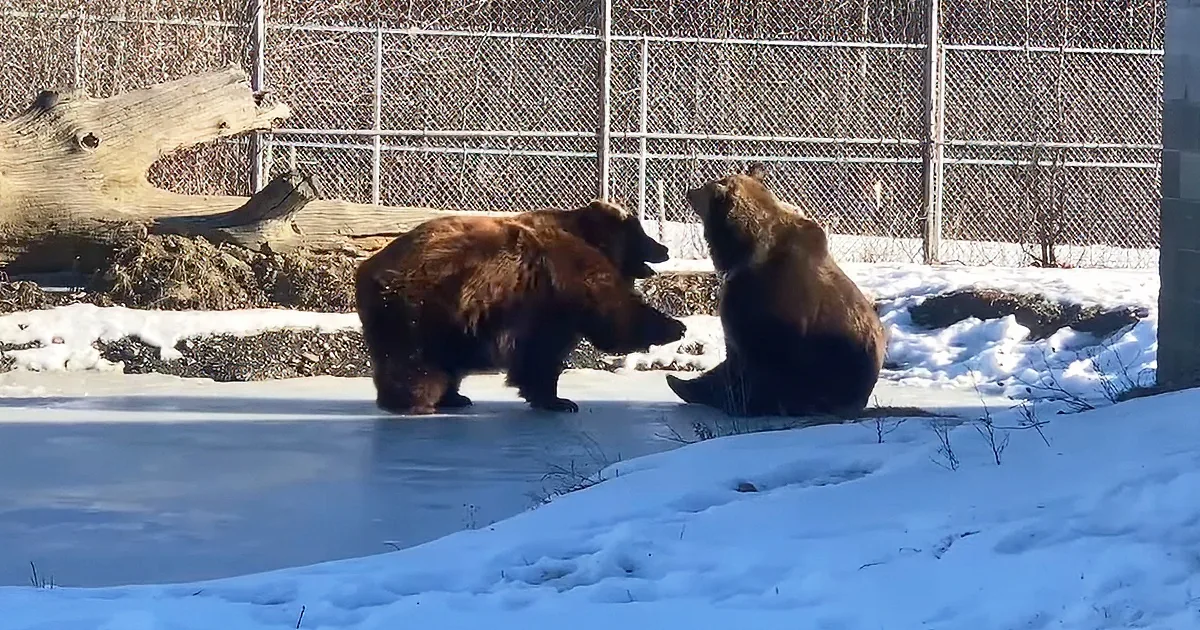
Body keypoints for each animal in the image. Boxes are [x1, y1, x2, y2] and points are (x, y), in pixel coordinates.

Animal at [355, 202, 685, 416]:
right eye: (641, 233)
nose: (664, 248)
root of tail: (367, 268)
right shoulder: (559, 286)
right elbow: (599, 325)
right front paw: (559, 401)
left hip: (449, 322)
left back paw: (454, 397)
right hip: (423, 307)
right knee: (415, 359)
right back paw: (414, 402)